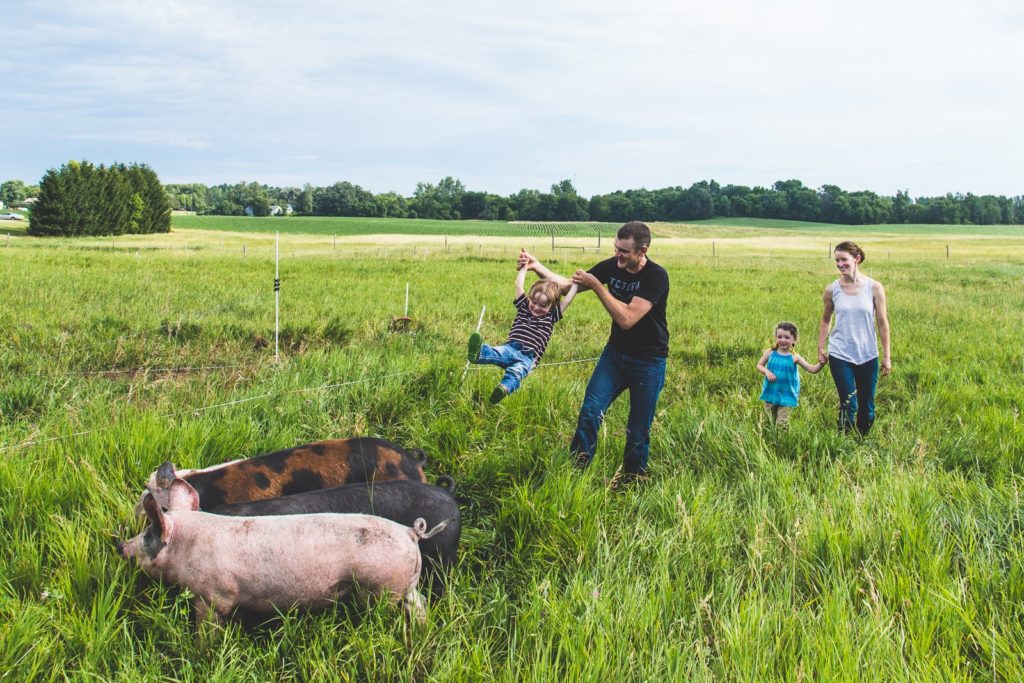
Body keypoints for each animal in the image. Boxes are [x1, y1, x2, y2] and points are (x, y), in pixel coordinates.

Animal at [116, 479, 444, 626]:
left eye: (149, 535)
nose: (120, 546)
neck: (188, 544)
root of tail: (411, 533)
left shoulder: (213, 595)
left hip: (383, 589)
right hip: (407, 587)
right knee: (420, 606)